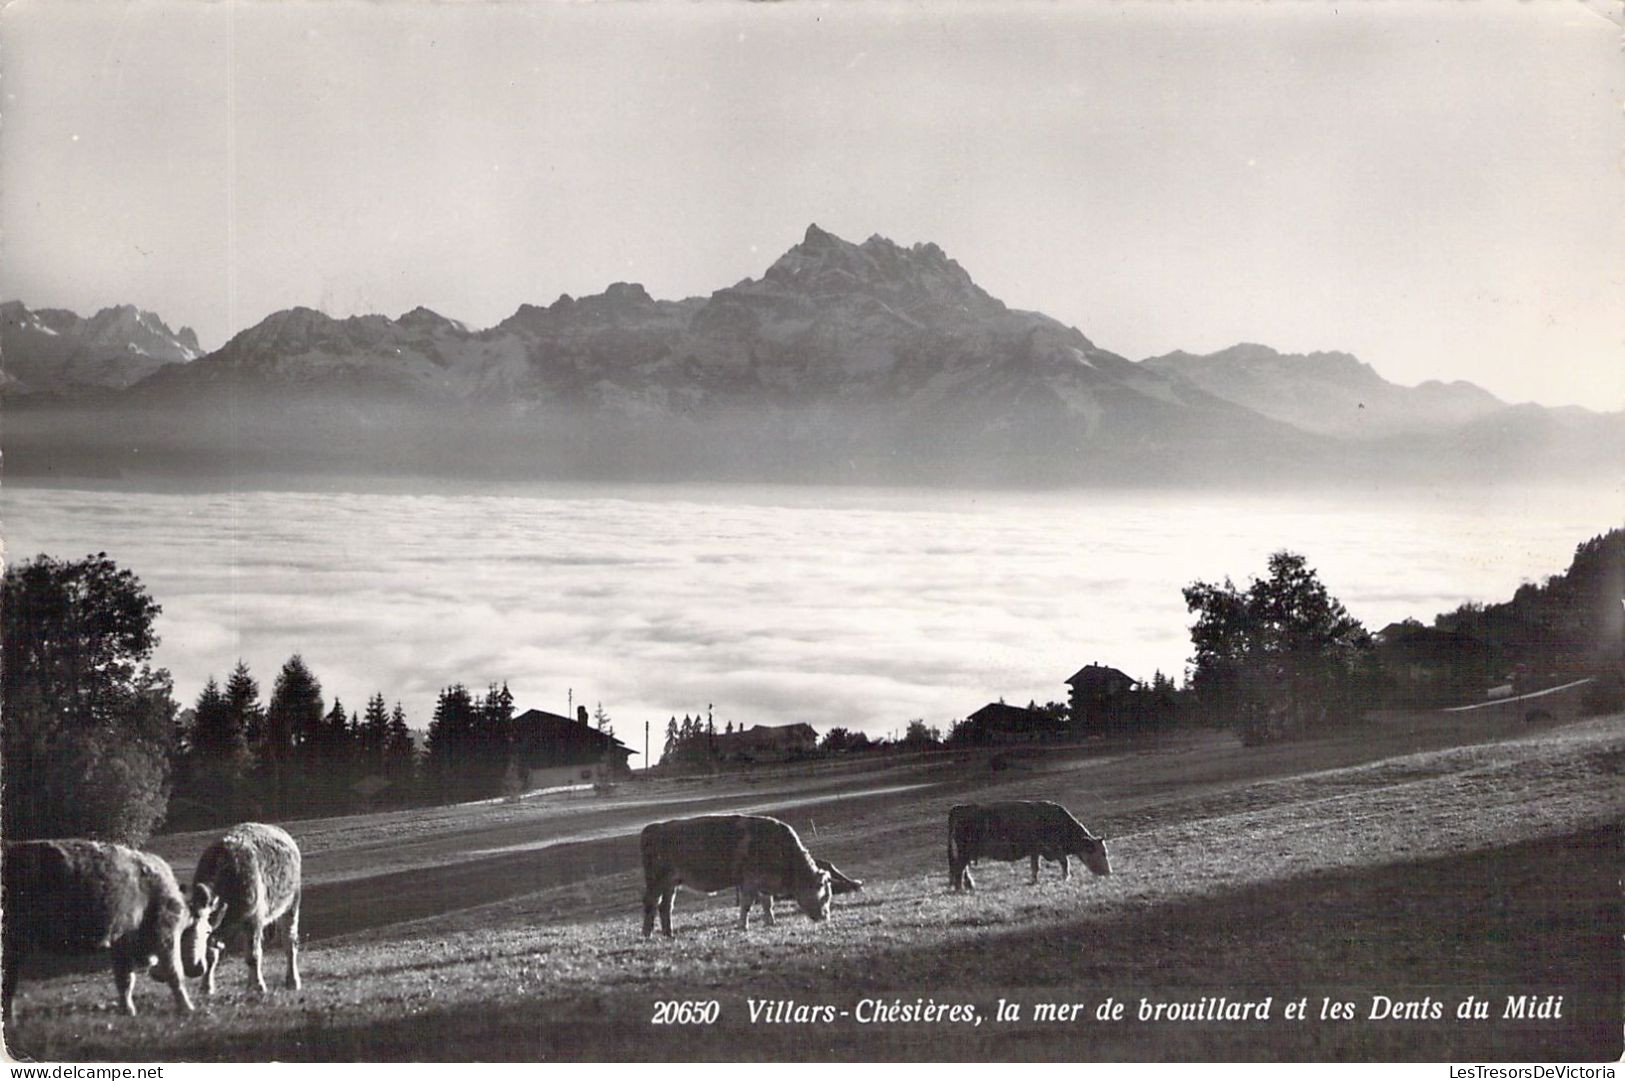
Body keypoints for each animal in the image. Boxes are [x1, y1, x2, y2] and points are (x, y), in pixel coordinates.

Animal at [0, 832, 209, 1014]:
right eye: (203, 928)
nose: (199, 967)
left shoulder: (121, 942)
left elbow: (125, 980)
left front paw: (128, 1010)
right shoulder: (165, 935)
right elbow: (175, 973)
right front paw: (187, 1008)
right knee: (9, 980)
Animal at [181, 822, 305, 988]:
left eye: (206, 931)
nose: (191, 968)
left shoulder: (254, 919)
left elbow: (253, 955)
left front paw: (258, 985)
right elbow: (212, 955)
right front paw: (206, 986)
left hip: (291, 906)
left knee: (289, 943)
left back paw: (292, 980)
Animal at [640, 809, 832, 936]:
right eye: (823, 895)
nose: (825, 917)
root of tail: (653, 828)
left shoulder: (764, 884)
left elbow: (767, 903)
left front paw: (771, 922)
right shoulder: (749, 882)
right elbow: (746, 904)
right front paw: (743, 926)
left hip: (670, 884)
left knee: (665, 906)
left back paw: (669, 933)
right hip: (656, 881)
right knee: (651, 903)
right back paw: (647, 933)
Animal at [949, 796, 1111, 890]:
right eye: (1102, 853)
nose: (1109, 872)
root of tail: (960, 807)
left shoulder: (1036, 850)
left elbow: (1035, 866)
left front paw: (1034, 880)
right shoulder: (1053, 848)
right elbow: (1065, 862)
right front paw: (1066, 877)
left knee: (963, 869)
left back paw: (969, 885)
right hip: (964, 851)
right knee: (959, 869)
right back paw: (960, 889)